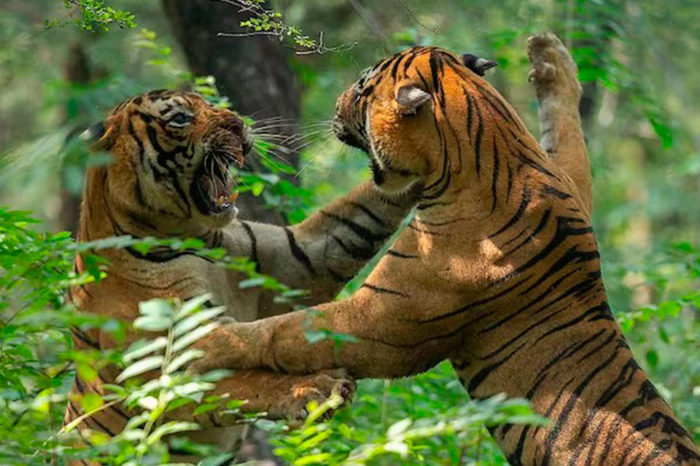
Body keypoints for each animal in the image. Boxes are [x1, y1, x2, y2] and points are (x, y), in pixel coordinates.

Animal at [64, 89, 419, 463]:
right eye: (180, 119)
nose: (238, 124)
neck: (196, 239)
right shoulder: (162, 371)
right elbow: (240, 383)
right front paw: (313, 388)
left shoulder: (299, 259)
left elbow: (363, 210)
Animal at [190, 34, 700, 465]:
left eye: (362, 87)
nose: (336, 102)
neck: (495, 144)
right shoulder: (570, 179)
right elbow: (568, 133)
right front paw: (550, 56)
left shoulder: (381, 324)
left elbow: (282, 332)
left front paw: (204, 341)